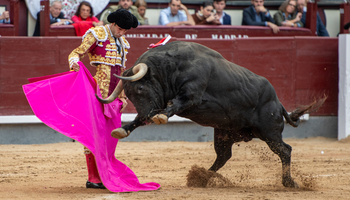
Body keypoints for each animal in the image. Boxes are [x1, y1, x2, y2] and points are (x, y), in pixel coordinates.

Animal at [98, 40, 326, 188]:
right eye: (128, 95)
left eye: (140, 89)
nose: (147, 117)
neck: (170, 68)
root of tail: (278, 103)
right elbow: (141, 118)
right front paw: (122, 130)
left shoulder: (191, 96)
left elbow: (173, 105)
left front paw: (160, 117)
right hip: (225, 134)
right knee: (224, 156)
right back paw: (202, 178)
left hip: (269, 132)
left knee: (285, 150)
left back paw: (289, 182)